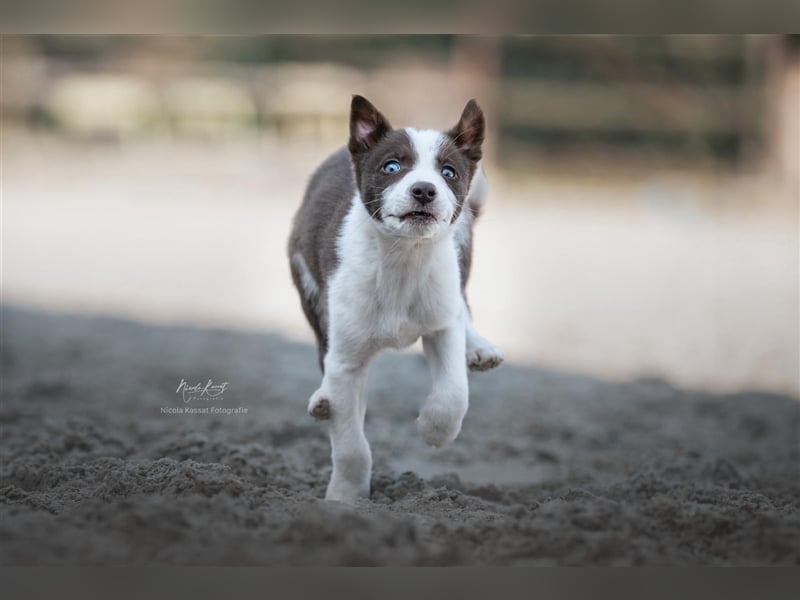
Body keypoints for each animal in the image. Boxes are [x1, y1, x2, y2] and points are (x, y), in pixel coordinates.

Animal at [286, 97, 500, 502]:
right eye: (391, 167)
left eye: (448, 172)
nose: (424, 190)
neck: (403, 259)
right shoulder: (346, 359)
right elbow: (350, 443)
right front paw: (344, 498)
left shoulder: (442, 322)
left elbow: (454, 392)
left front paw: (435, 429)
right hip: (308, 285)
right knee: (323, 349)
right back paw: (322, 399)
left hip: (461, 250)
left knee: (463, 305)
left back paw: (479, 347)